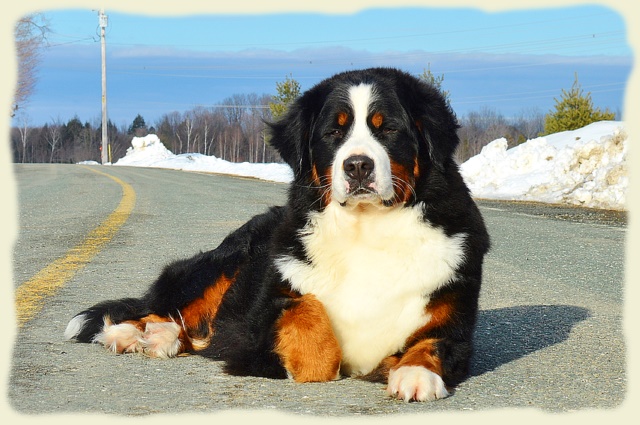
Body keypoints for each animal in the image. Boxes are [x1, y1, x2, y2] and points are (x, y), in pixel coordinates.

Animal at [65, 67, 490, 400]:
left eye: (388, 128)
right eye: (333, 133)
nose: (357, 166)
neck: (367, 228)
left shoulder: (454, 321)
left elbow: (430, 342)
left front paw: (414, 374)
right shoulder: (266, 308)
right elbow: (309, 325)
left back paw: (161, 337)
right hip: (219, 266)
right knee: (164, 309)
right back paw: (133, 333)